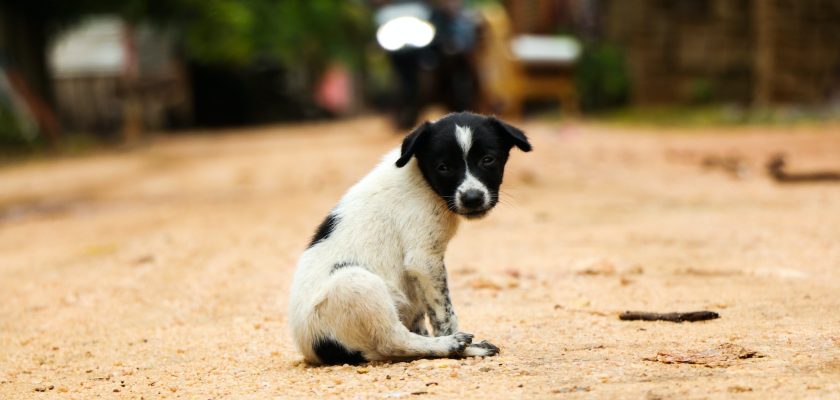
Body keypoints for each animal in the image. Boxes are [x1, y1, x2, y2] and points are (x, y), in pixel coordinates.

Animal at [286, 111, 528, 364]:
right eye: (443, 167)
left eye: (488, 160)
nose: (472, 198)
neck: (422, 180)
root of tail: (313, 349)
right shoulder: (424, 259)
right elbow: (445, 314)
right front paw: (456, 341)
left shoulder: (417, 277)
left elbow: (424, 314)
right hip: (355, 283)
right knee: (393, 341)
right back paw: (454, 346)